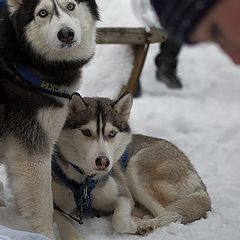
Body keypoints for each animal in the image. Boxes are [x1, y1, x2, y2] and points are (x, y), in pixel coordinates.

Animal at [0, 0, 99, 238]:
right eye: (42, 13)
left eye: (71, 6)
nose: (66, 34)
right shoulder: (32, 150)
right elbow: (44, 204)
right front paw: (44, 234)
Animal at [52, 93, 210, 238]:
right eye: (86, 132)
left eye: (112, 133)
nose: (103, 161)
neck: (85, 183)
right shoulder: (55, 208)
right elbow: (67, 228)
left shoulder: (123, 194)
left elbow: (120, 221)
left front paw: (132, 224)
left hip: (136, 169)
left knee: (167, 213)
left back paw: (147, 224)